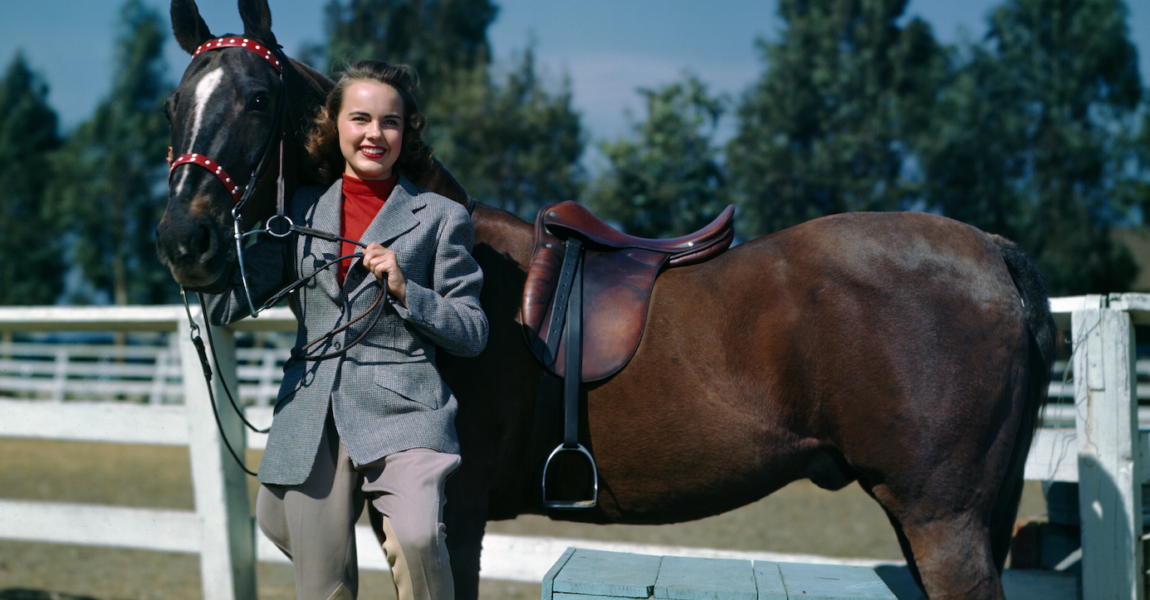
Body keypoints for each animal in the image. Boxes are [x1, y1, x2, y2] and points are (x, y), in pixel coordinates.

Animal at [155, 2, 1058, 593]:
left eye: (258, 98)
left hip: (943, 521)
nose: (182, 241)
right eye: (175, 104)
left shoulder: (455, 512)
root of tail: (992, 252)